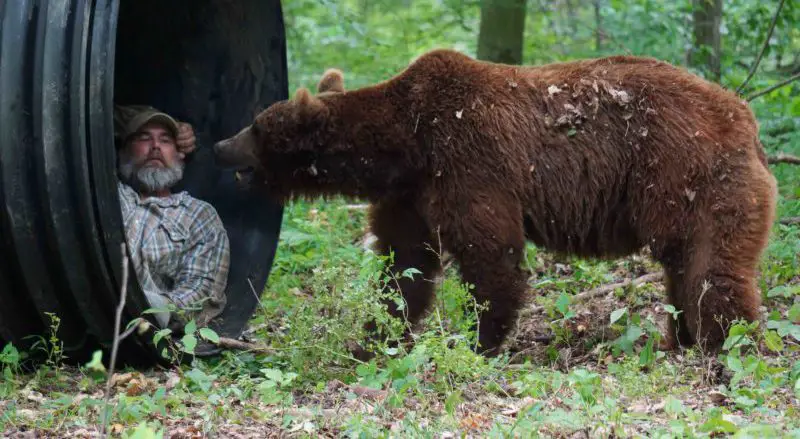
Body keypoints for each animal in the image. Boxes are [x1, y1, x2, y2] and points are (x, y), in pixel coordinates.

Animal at [211, 48, 776, 358]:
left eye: (256, 127)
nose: (218, 145)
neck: (404, 145)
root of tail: (747, 119)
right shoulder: (409, 195)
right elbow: (403, 268)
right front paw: (372, 339)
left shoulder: (469, 162)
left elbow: (490, 257)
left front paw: (476, 340)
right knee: (684, 268)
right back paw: (680, 337)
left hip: (689, 175)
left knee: (713, 268)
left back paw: (725, 344)